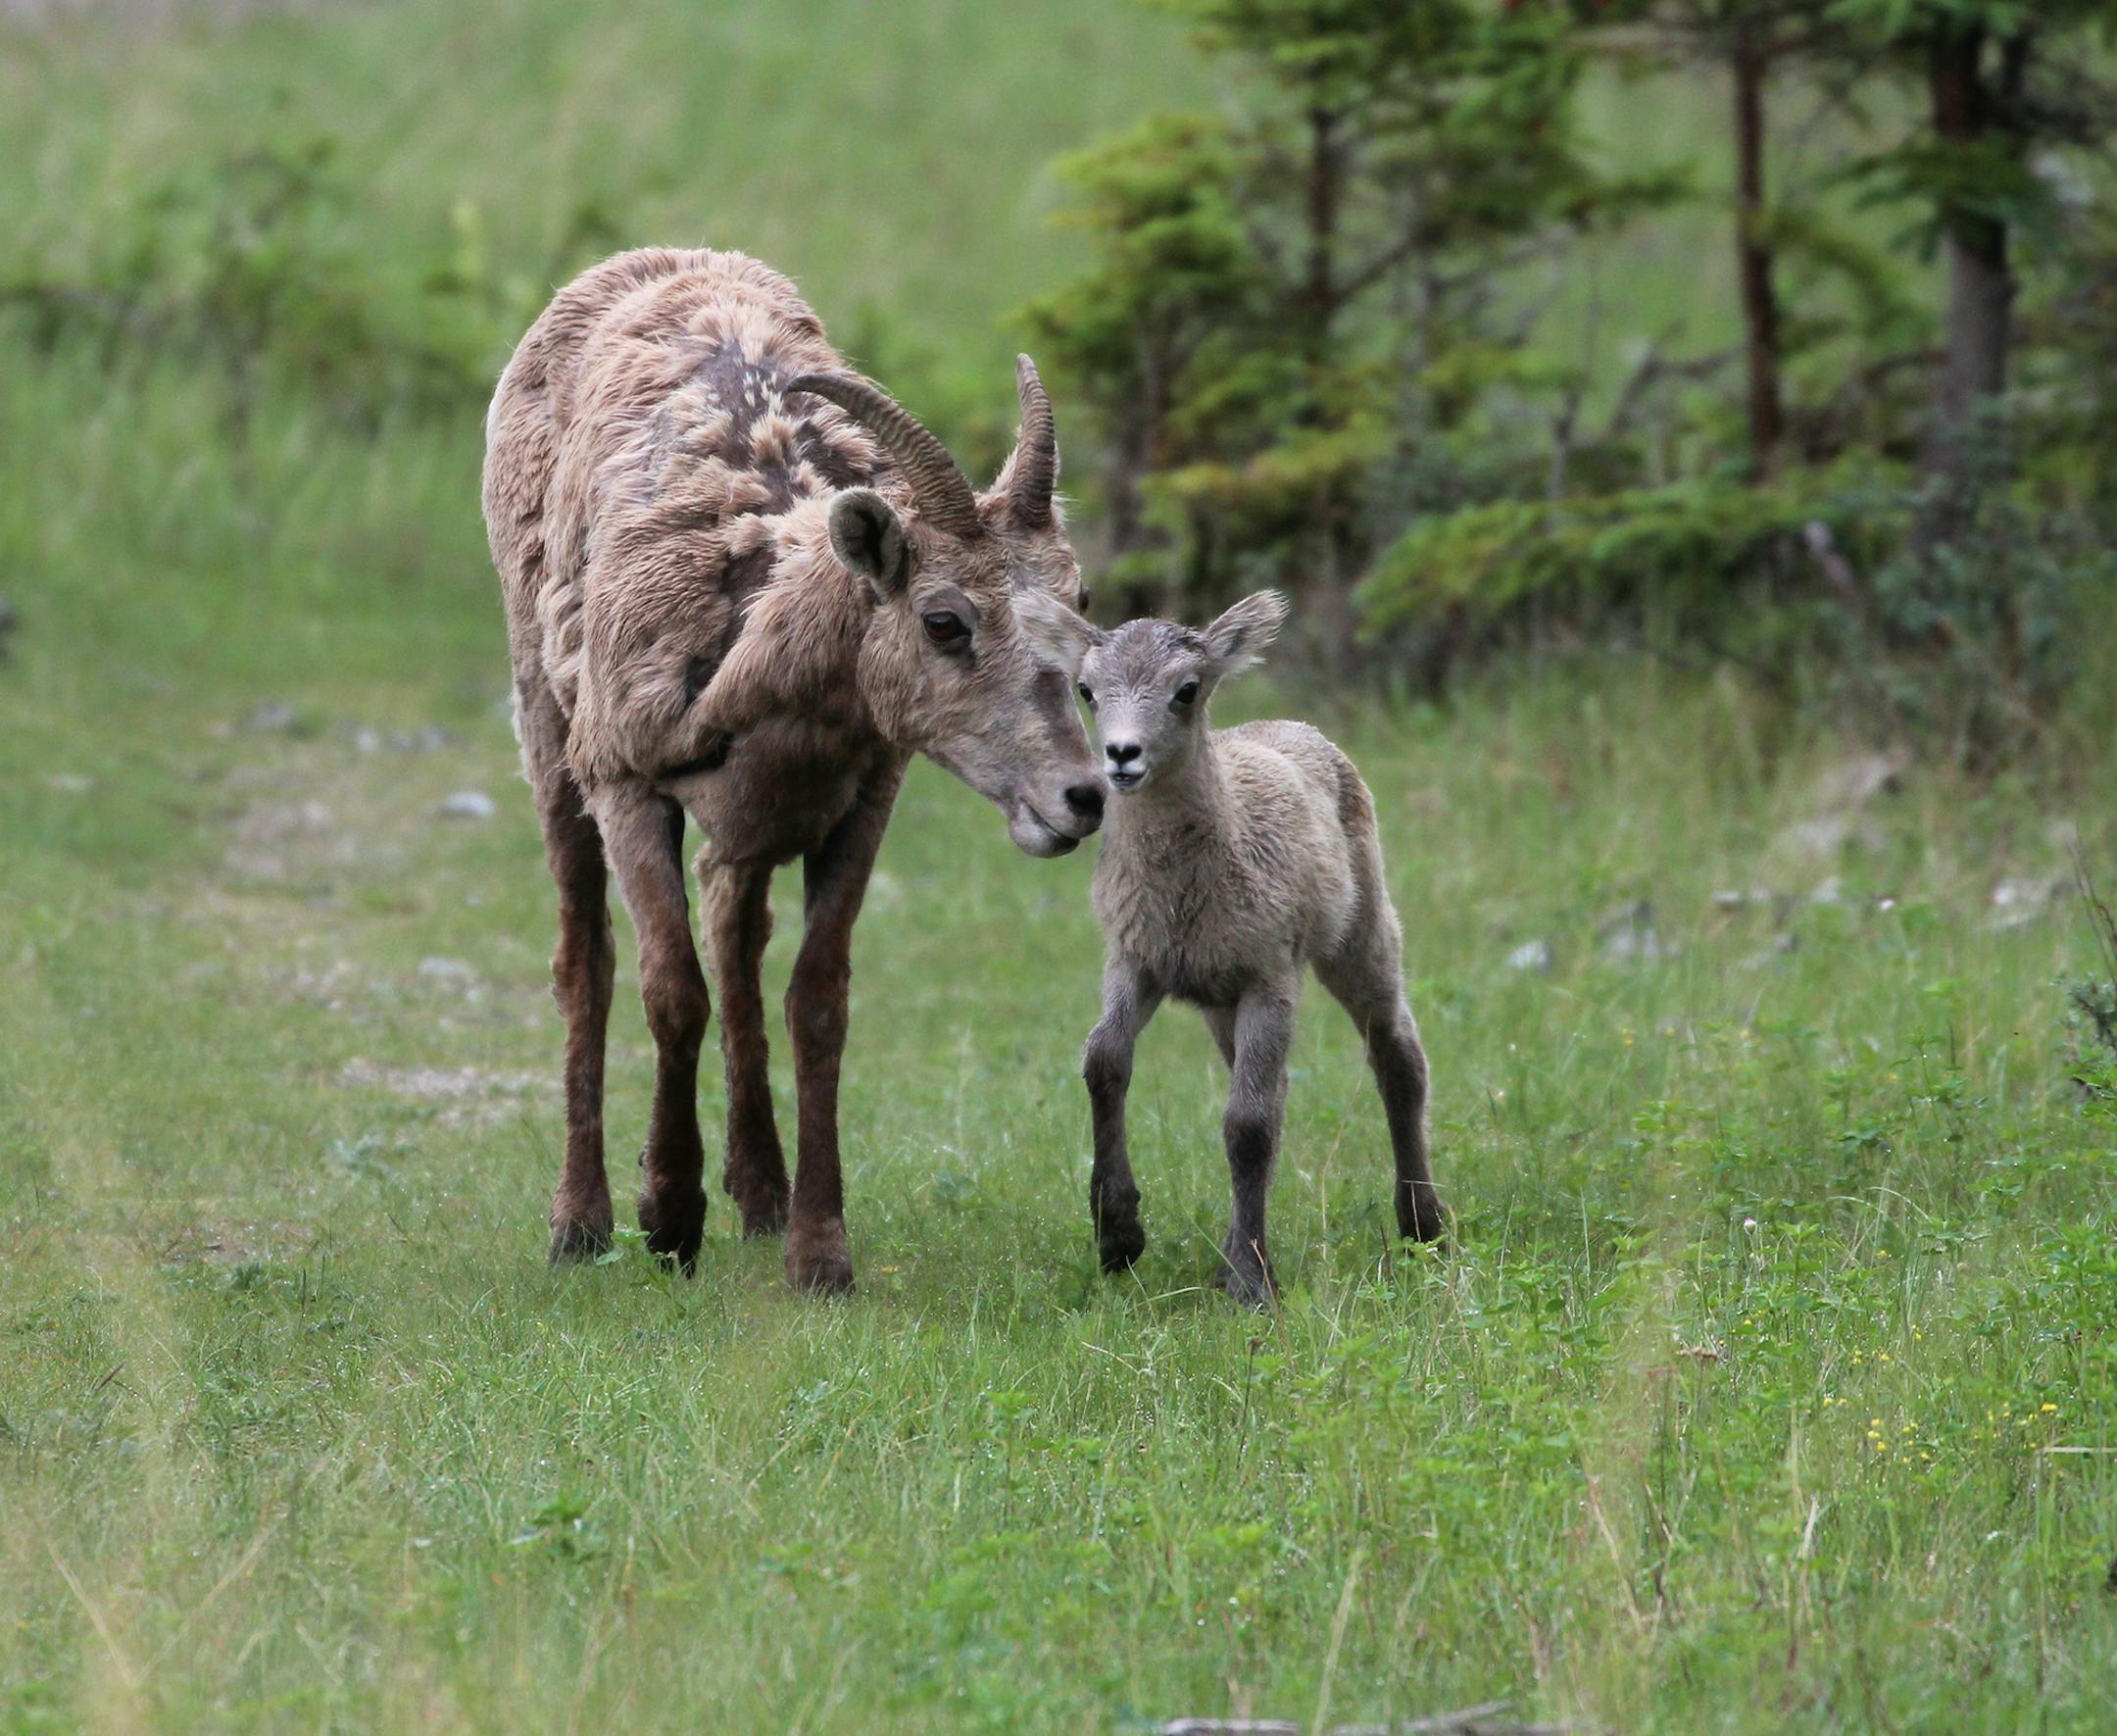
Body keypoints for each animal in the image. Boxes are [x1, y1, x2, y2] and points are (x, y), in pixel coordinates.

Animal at [482, 248, 1104, 1293]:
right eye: (944, 619)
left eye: (1082, 597)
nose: (1083, 795)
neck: (745, 647)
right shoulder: (625, 778)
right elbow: (668, 988)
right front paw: (668, 1219)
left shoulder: (860, 800)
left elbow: (816, 999)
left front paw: (819, 1254)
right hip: (544, 721)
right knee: (587, 956)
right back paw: (580, 1222)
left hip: (749, 829)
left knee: (737, 936)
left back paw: (761, 1193)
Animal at [1014, 589, 1445, 1303]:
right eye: (1086, 689)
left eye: (1186, 689)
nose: (1122, 755)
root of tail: (1297, 726)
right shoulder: (1135, 960)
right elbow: (1104, 1061)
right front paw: (1118, 1235)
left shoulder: (1268, 973)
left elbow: (1245, 1126)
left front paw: (1249, 1283)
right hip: (1220, 1001)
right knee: (1278, 1089)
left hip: (1360, 929)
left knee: (1396, 1054)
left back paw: (1423, 1225)